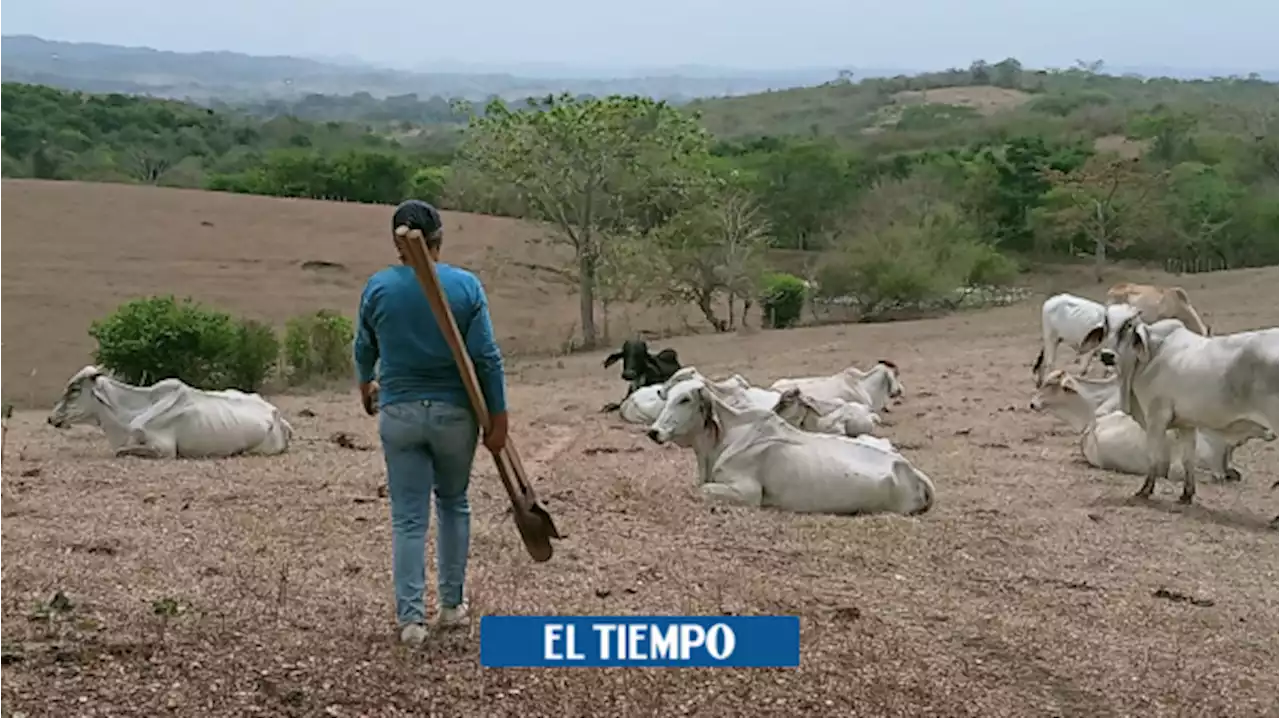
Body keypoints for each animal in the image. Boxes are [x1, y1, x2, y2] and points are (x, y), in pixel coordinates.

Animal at [645, 376, 936, 514]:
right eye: (667, 397)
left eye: (685, 399)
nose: (654, 432)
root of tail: (911, 470)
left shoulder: (748, 492)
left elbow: (702, 490)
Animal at [1090, 304, 1280, 501]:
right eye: (1106, 325)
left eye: (1128, 326)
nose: (1107, 356)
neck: (1151, 353)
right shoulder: (1186, 424)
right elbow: (1188, 460)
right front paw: (1186, 495)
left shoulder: (1156, 417)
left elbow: (1153, 455)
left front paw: (1145, 490)